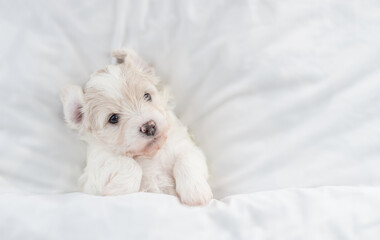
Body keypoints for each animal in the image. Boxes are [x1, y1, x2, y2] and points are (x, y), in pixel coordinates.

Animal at [60, 49, 212, 206]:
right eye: (113, 118)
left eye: (147, 96)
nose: (149, 126)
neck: (151, 154)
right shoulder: (95, 171)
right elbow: (130, 165)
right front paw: (116, 189)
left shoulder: (188, 147)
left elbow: (186, 160)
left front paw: (195, 191)